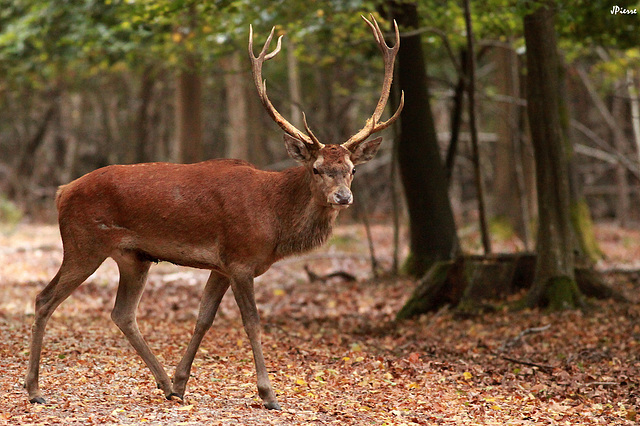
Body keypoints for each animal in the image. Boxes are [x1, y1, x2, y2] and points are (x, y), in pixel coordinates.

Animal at [25, 15, 404, 412]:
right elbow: (252, 323)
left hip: (133, 257)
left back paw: (163, 383)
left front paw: (181, 383)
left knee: (122, 313)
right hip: (83, 243)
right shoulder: (240, 259)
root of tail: (61, 192)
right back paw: (34, 389)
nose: (343, 197)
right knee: (45, 299)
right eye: (317, 169)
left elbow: (203, 319)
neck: (274, 219)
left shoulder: (220, 265)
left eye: (352, 169)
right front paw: (269, 394)